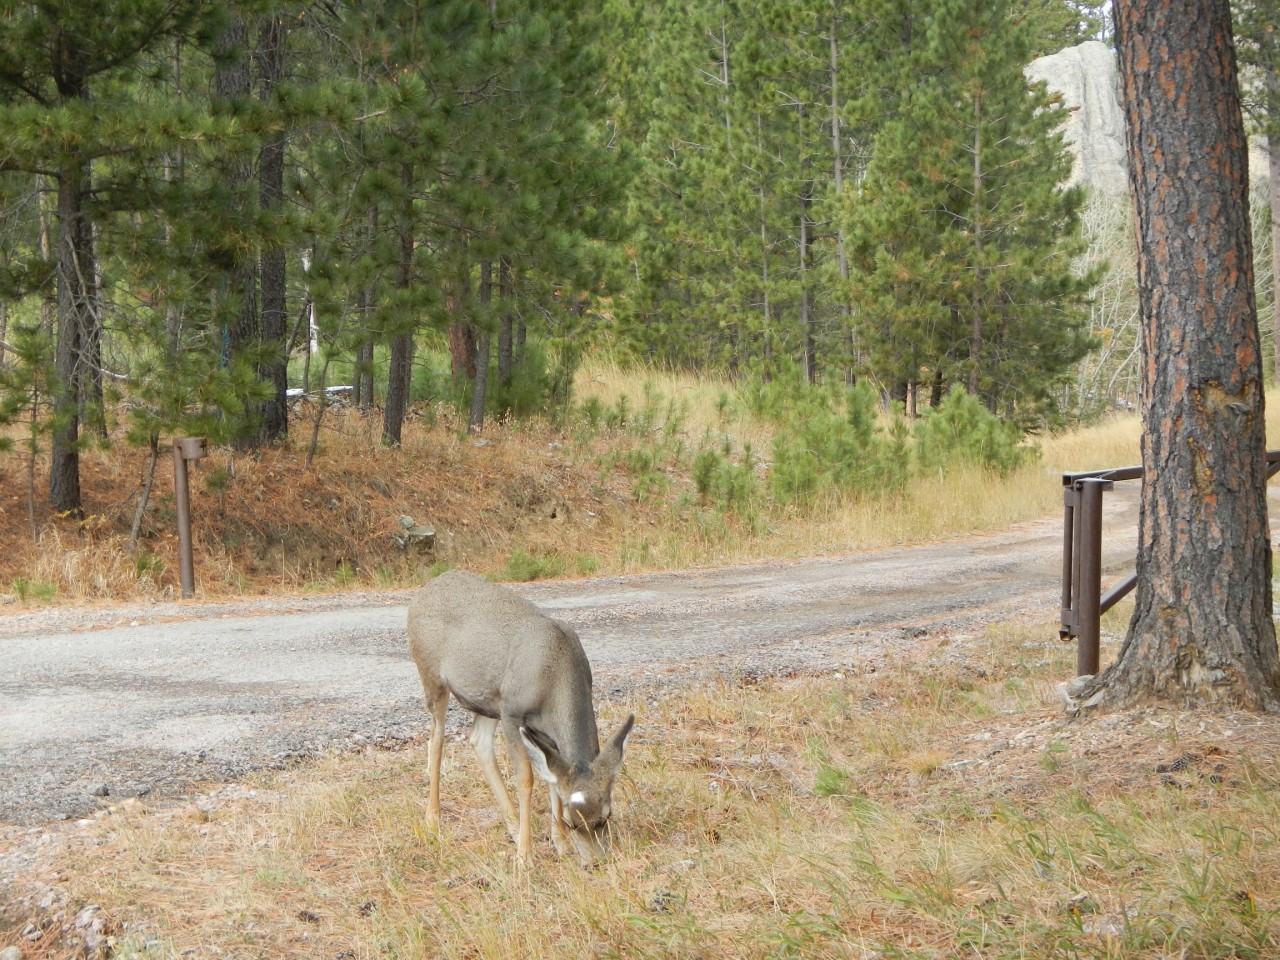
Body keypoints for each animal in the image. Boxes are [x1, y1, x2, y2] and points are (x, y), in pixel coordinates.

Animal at [407, 570, 635, 865]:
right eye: (572, 822)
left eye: (606, 816)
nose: (594, 862)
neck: (553, 672)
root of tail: (425, 590)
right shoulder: (512, 713)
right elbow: (526, 778)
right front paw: (525, 856)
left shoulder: (542, 729)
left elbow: (552, 779)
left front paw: (560, 844)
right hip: (433, 677)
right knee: (437, 737)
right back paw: (433, 819)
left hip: (490, 699)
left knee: (478, 740)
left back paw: (513, 826)